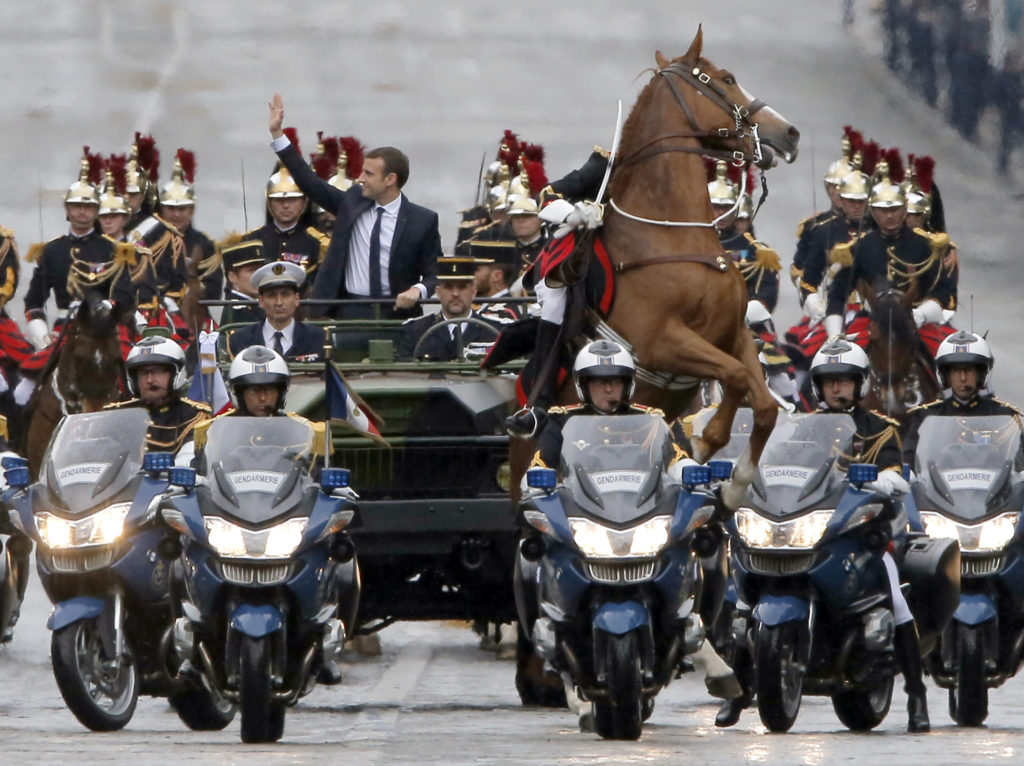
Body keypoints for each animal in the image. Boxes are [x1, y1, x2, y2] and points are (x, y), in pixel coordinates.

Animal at [536, 29, 798, 507]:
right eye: (727, 79)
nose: (789, 133)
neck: (673, 233)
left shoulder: (732, 334)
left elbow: (765, 403)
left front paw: (734, 484)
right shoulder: (662, 343)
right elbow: (734, 379)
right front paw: (701, 443)